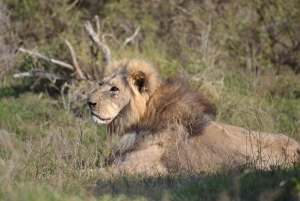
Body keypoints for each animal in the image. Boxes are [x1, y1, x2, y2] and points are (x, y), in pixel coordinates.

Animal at [87, 59, 300, 174]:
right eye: (100, 84)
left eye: (114, 89)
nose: (89, 103)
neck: (138, 123)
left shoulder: (138, 169)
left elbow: (90, 173)